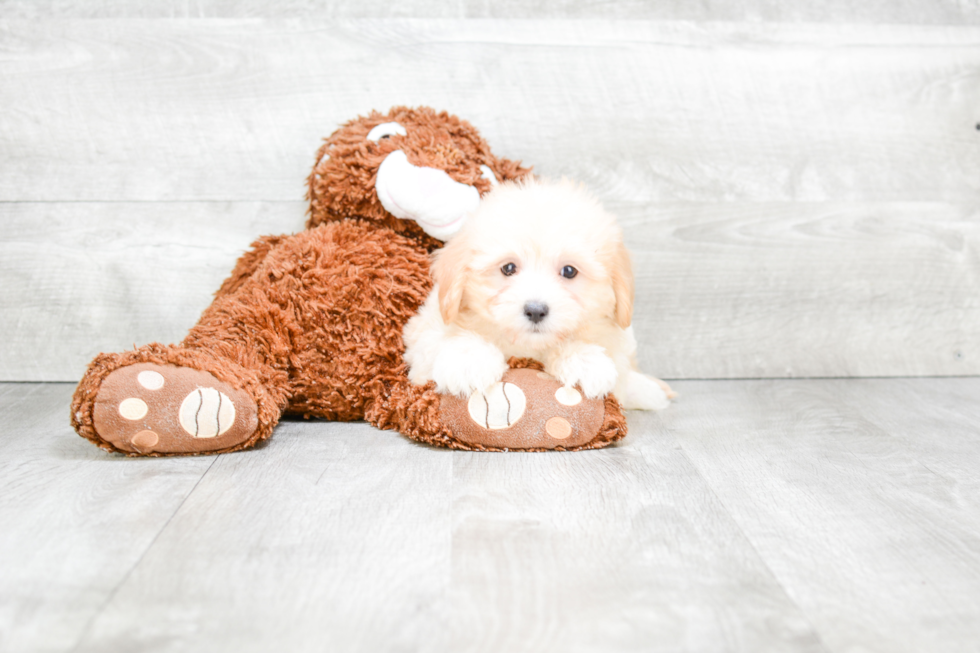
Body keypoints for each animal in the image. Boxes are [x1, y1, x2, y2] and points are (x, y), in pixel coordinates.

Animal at [402, 176, 668, 404]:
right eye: (508, 268)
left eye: (569, 271)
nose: (536, 311)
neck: (527, 348)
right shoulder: (425, 335)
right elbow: (440, 343)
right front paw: (470, 360)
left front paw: (584, 361)